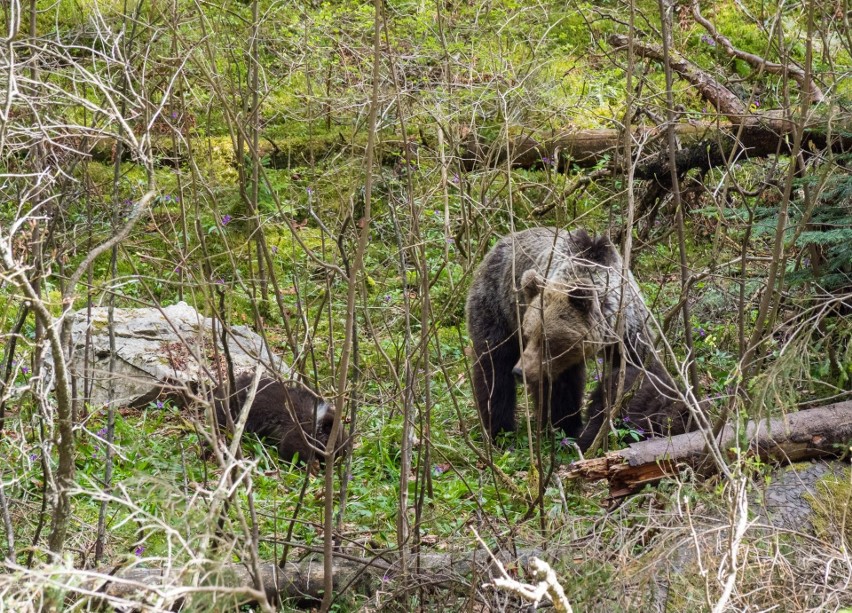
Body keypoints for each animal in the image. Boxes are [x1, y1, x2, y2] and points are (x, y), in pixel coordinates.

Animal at [466, 227, 664, 448]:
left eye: (547, 340)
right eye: (528, 335)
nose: (520, 371)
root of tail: (499, 243)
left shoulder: (629, 331)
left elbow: (640, 371)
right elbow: (560, 391)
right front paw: (565, 426)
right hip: (497, 306)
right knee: (494, 367)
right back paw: (500, 430)